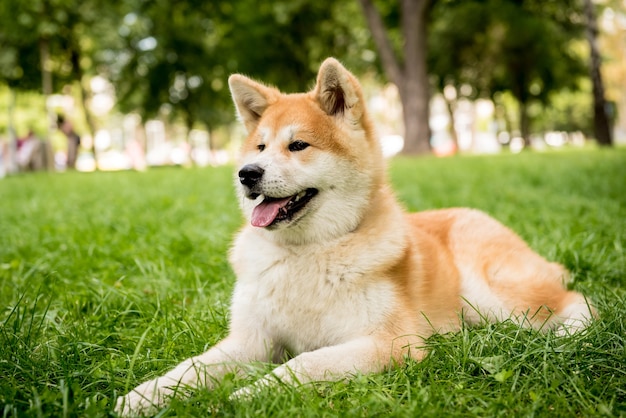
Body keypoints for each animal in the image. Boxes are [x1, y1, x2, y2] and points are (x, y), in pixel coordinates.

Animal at [116, 58, 588, 414]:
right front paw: (140, 397)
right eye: (260, 147)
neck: (306, 253)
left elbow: (301, 365)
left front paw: (247, 396)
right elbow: (188, 370)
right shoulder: (251, 341)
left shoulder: (389, 342)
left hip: (492, 296)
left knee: (574, 300)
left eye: (298, 146)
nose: (247, 174)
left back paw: (571, 337)